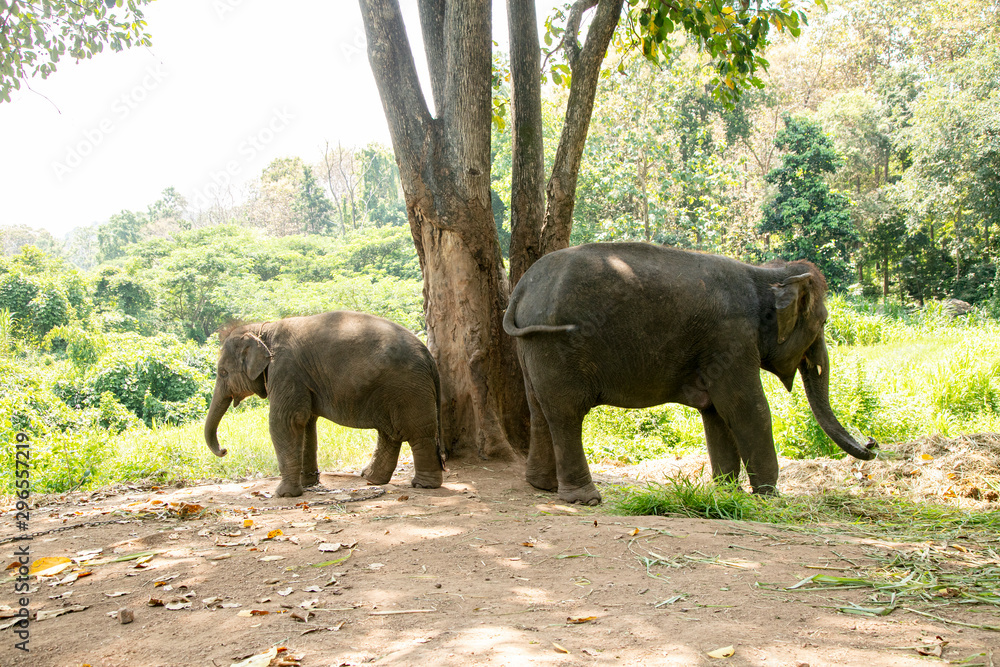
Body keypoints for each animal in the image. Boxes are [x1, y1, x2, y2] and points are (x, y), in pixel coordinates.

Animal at [204, 310, 444, 497]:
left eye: (222, 372)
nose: (224, 450)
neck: (263, 329)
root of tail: (429, 358)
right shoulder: (301, 379)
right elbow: (306, 423)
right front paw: (308, 485)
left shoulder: (286, 370)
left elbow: (286, 421)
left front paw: (284, 494)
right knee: (390, 434)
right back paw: (371, 479)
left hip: (408, 389)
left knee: (417, 434)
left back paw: (423, 485)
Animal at [503, 242, 877, 505]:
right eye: (823, 322)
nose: (872, 443)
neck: (764, 275)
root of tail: (521, 290)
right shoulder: (732, 337)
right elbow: (747, 408)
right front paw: (770, 496)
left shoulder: (719, 347)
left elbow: (716, 413)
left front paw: (725, 491)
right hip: (557, 345)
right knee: (566, 415)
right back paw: (586, 499)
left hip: (531, 347)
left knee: (541, 410)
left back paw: (543, 486)